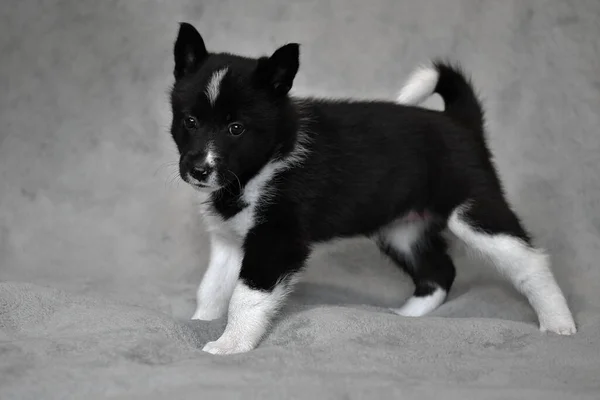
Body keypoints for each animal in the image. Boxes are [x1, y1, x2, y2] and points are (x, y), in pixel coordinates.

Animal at [168, 22, 576, 354]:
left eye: (235, 128)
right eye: (189, 121)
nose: (198, 170)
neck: (262, 165)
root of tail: (460, 121)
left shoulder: (276, 241)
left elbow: (246, 296)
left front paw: (229, 345)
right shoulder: (229, 240)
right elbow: (212, 287)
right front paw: (201, 322)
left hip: (474, 211)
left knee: (530, 261)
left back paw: (559, 323)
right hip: (402, 231)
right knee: (439, 272)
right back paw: (405, 316)